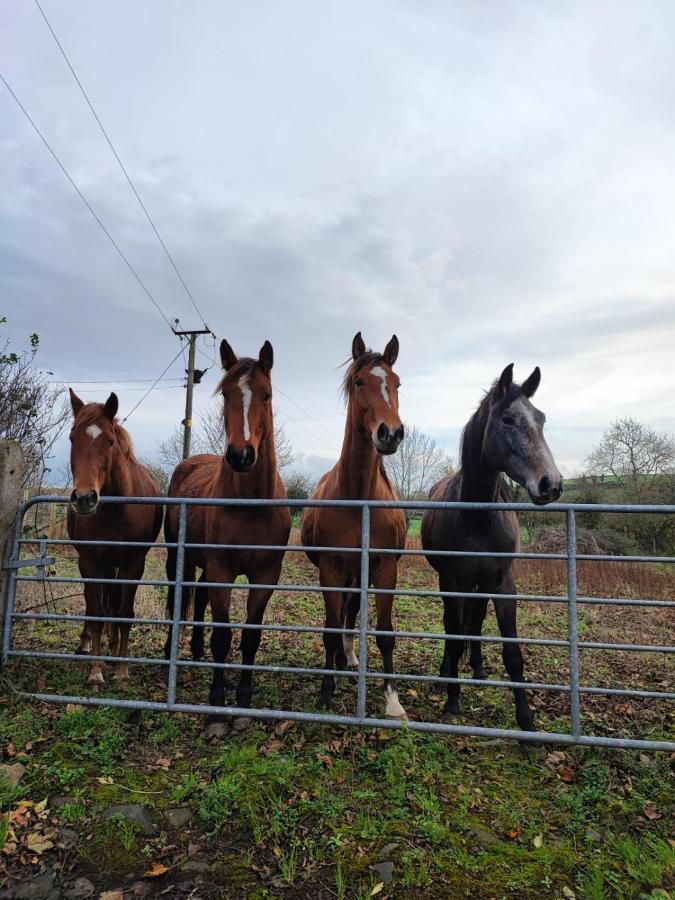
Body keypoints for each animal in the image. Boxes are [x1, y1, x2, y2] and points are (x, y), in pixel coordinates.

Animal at [66, 390, 164, 684]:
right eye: (72, 438)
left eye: (109, 441)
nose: (84, 498)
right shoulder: (89, 562)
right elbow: (97, 612)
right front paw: (96, 671)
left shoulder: (134, 564)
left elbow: (124, 613)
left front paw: (122, 668)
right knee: (96, 604)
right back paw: (88, 644)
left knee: (115, 600)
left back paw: (112, 648)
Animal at [165, 338, 292, 724]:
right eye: (226, 394)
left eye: (266, 394)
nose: (240, 455)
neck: (250, 504)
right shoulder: (221, 569)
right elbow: (222, 636)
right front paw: (218, 705)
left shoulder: (266, 575)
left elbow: (250, 636)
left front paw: (245, 699)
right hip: (177, 556)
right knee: (176, 599)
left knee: (198, 599)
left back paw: (195, 650)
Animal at [304, 334, 410, 720]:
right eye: (359, 382)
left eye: (396, 383)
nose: (390, 433)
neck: (358, 498)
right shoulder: (331, 568)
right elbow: (331, 630)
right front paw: (326, 691)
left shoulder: (384, 567)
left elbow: (385, 632)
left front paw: (393, 701)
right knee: (343, 615)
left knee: (352, 610)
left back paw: (348, 657)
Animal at [422, 362, 564, 736]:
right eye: (507, 420)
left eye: (541, 419)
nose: (552, 484)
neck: (479, 518)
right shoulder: (453, 582)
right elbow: (454, 635)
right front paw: (452, 703)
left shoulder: (502, 583)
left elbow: (513, 653)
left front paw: (527, 724)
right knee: (455, 626)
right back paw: (447, 672)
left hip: (481, 585)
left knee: (475, 620)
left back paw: (478, 667)